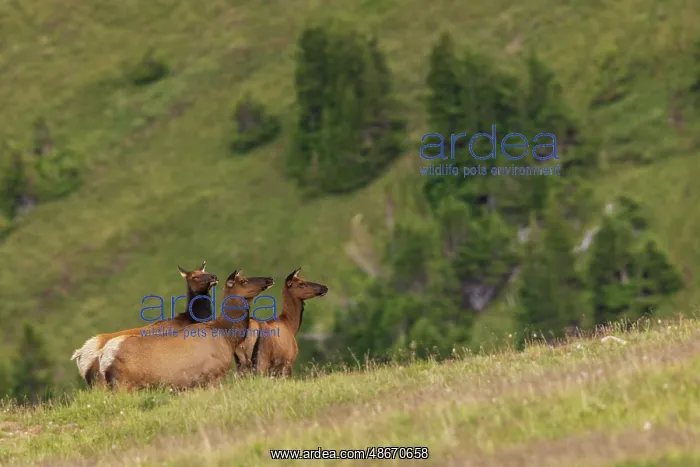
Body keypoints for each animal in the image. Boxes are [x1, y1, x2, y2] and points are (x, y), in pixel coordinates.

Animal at [98, 270, 274, 391]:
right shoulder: (212, 375)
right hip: (123, 385)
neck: (226, 336)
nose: (269, 278)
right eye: (244, 280)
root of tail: (104, 358)